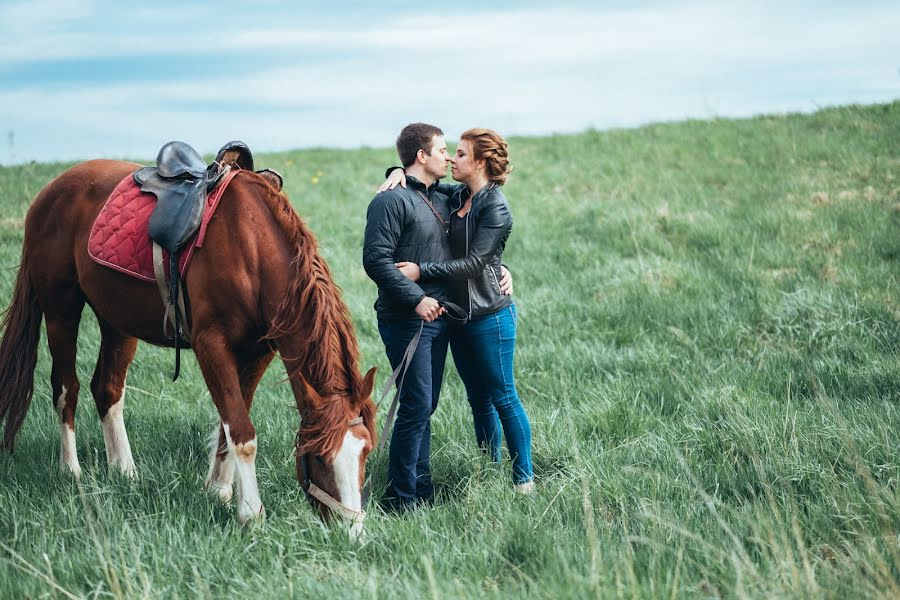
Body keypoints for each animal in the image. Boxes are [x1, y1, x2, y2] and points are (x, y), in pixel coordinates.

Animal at [0, 157, 376, 528]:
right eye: (321, 456)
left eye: (366, 452)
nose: (351, 531)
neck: (252, 250)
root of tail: (51, 191)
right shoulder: (211, 345)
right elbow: (241, 433)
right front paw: (250, 513)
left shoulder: (257, 353)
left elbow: (230, 423)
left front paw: (219, 490)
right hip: (60, 309)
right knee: (66, 388)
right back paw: (71, 471)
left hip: (117, 320)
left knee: (107, 389)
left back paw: (124, 471)